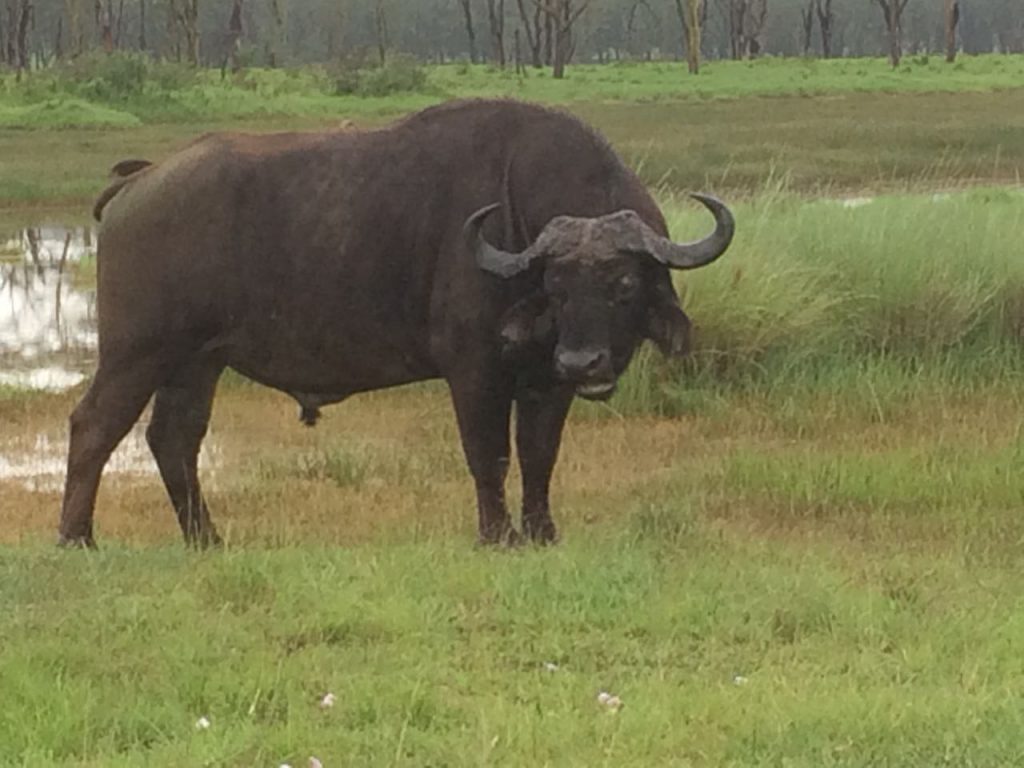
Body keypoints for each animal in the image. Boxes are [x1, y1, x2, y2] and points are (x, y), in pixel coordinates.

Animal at [56, 99, 733, 548]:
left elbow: (539, 454)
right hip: (136, 352)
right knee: (94, 427)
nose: (583, 361)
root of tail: (140, 179)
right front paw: (497, 535)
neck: (513, 216)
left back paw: (207, 539)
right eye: (557, 286)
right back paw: (77, 537)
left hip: (197, 362)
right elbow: (488, 454)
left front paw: (542, 532)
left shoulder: (546, 380)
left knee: (174, 438)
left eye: (623, 286)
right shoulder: (474, 370)